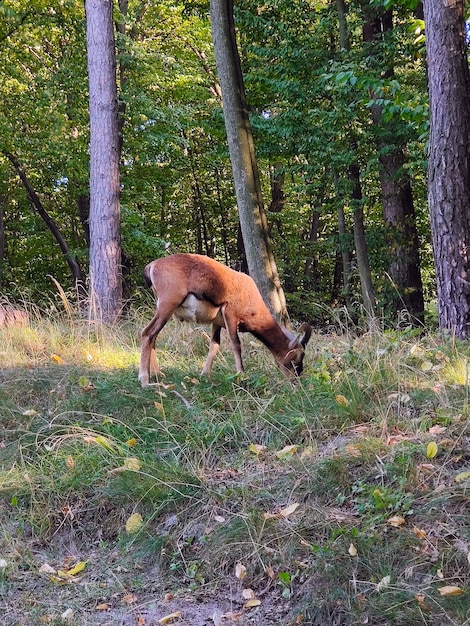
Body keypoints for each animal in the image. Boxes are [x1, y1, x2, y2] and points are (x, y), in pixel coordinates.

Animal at [139, 251, 312, 382]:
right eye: (298, 356)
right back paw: (145, 380)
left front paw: (205, 374)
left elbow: (214, 345)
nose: (296, 378)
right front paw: (241, 375)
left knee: (153, 336)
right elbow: (236, 344)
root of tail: (152, 266)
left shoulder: (217, 324)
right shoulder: (230, 315)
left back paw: (157, 374)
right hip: (167, 307)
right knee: (148, 333)